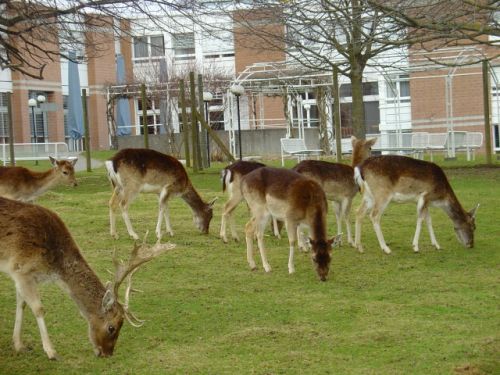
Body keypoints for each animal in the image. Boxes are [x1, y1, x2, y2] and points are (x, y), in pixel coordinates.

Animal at [0, 198, 176, 360]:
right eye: (111, 327)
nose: (107, 354)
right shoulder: (21, 268)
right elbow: (38, 308)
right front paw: (51, 352)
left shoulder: (23, 276)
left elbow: (21, 304)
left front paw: (18, 345)